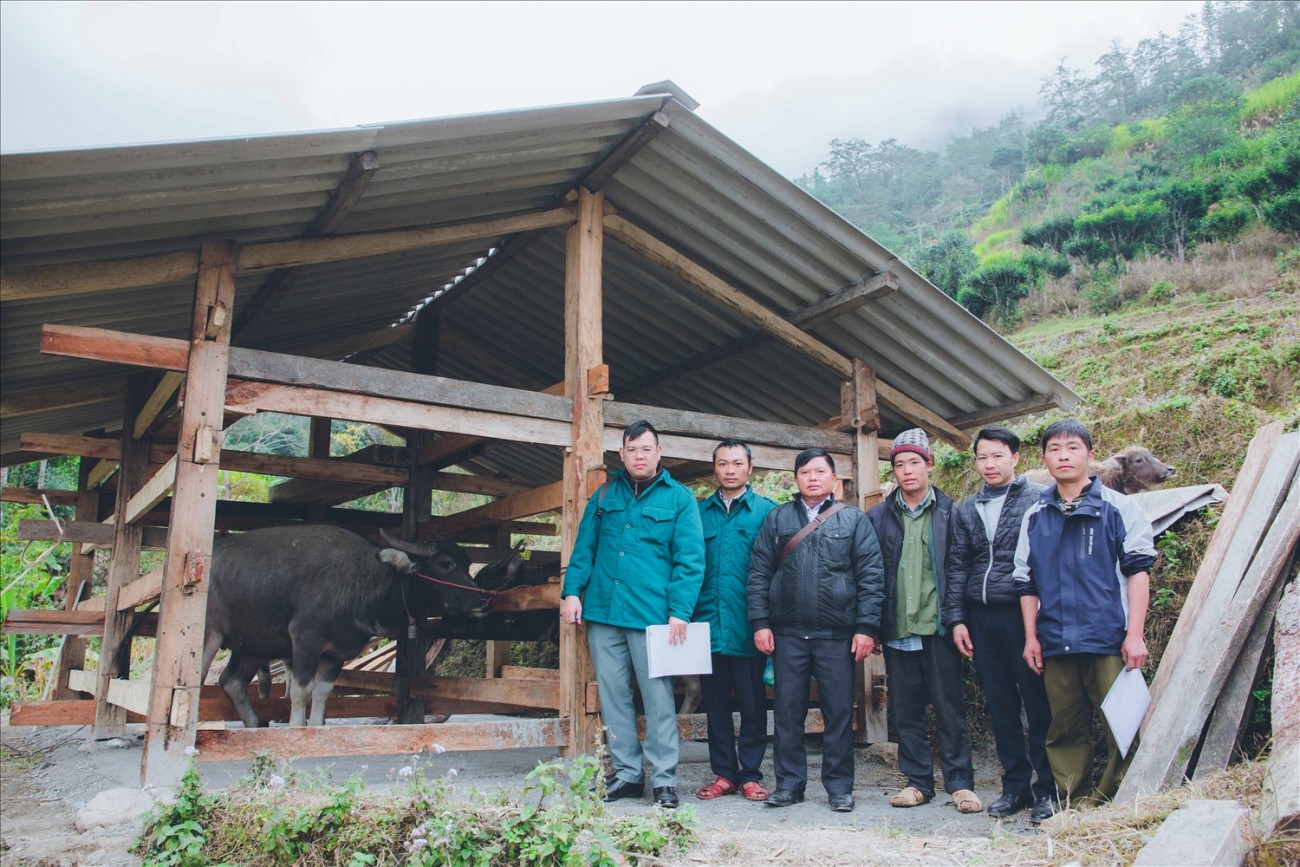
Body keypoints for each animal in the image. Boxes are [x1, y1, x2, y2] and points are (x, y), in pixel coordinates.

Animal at [197, 525, 488, 727]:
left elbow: (322, 693)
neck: (362, 582)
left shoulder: (336, 653)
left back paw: (256, 723)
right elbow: (301, 692)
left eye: (467, 564)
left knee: (231, 680)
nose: (483, 599)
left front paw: (316, 727)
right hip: (209, 636)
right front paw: (296, 728)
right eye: (446, 563)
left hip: (254, 645)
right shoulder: (305, 639)